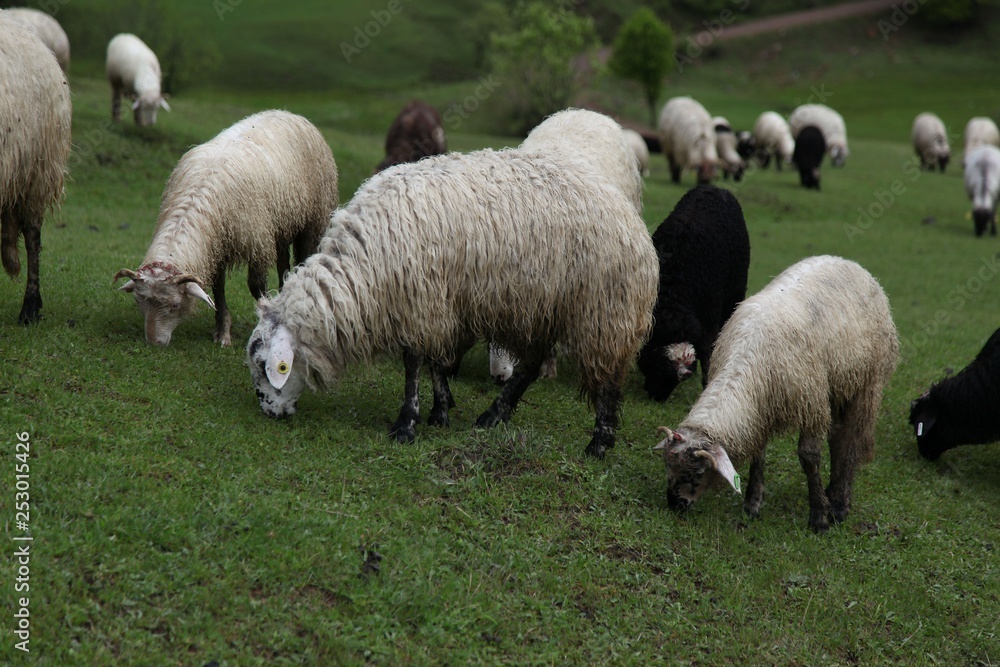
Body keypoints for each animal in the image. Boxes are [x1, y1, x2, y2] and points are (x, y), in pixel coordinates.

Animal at [113, 110, 338, 346]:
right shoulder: (216, 247)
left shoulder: (256, 241)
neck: (197, 201)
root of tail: (289, 113)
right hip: (281, 224)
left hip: (314, 219)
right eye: (139, 303)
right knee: (284, 265)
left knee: (304, 259)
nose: (154, 343)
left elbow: (256, 286)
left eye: (174, 305)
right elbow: (218, 290)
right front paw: (222, 333)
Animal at [246, 147, 658, 459]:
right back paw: (494, 415)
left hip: (605, 309)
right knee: (530, 364)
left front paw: (406, 423)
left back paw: (599, 443)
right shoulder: (438, 305)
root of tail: (628, 213)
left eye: (269, 366)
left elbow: (414, 363)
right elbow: (434, 363)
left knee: (608, 378)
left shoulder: (422, 301)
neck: (363, 270)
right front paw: (440, 410)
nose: (269, 413)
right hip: (540, 308)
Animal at [637, 185, 750, 402]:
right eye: (658, 365)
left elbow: (708, 353)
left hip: (734, 293)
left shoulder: (709, 316)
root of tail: (716, 188)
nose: (656, 397)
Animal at [653, 255, 898, 532]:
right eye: (667, 465)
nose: (674, 504)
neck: (747, 357)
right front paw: (753, 503)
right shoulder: (760, 408)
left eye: (696, 473)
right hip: (838, 382)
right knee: (838, 435)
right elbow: (758, 453)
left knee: (851, 438)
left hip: (867, 381)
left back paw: (839, 502)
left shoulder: (810, 403)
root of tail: (849, 262)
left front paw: (819, 517)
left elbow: (809, 457)